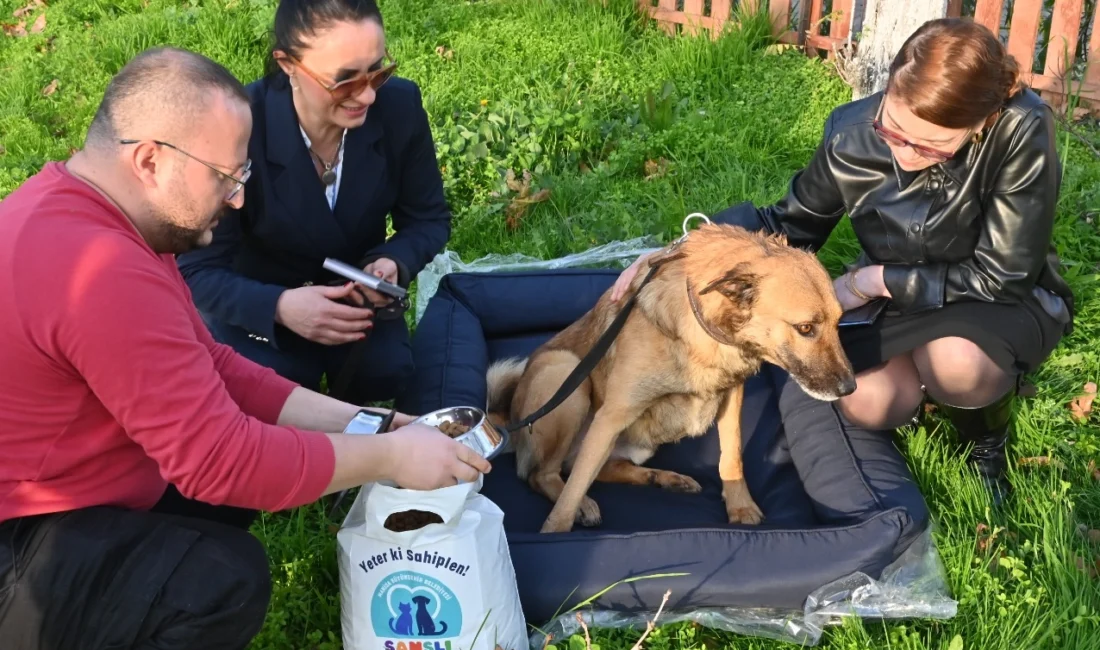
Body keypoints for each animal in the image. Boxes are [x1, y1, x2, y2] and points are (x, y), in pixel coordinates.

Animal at [486, 224, 853, 534]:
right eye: (805, 328)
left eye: (839, 322)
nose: (850, 388)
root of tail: (506, 421)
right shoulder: (610, 417)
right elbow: (572, 491)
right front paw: (555, 531)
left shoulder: (732, 395)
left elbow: (731, 455)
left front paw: (740, 506)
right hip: (566, 375)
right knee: (545, 475)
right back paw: (584, 505)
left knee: (598, 469)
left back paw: (662, 478)